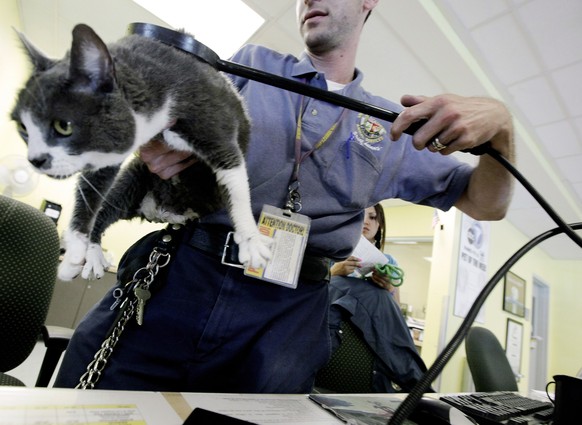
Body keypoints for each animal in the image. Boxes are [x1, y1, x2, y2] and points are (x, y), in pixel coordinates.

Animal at [10, 24, 272, 280]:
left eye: (63, 126)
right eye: (23, 128)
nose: (35, 160)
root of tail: (161, 212)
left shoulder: (212, 116)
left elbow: (233, 172)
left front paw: (250, 238)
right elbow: (91, 192)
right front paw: (75, 248)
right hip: (135, 178)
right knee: (106, 208)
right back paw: (93, 255)